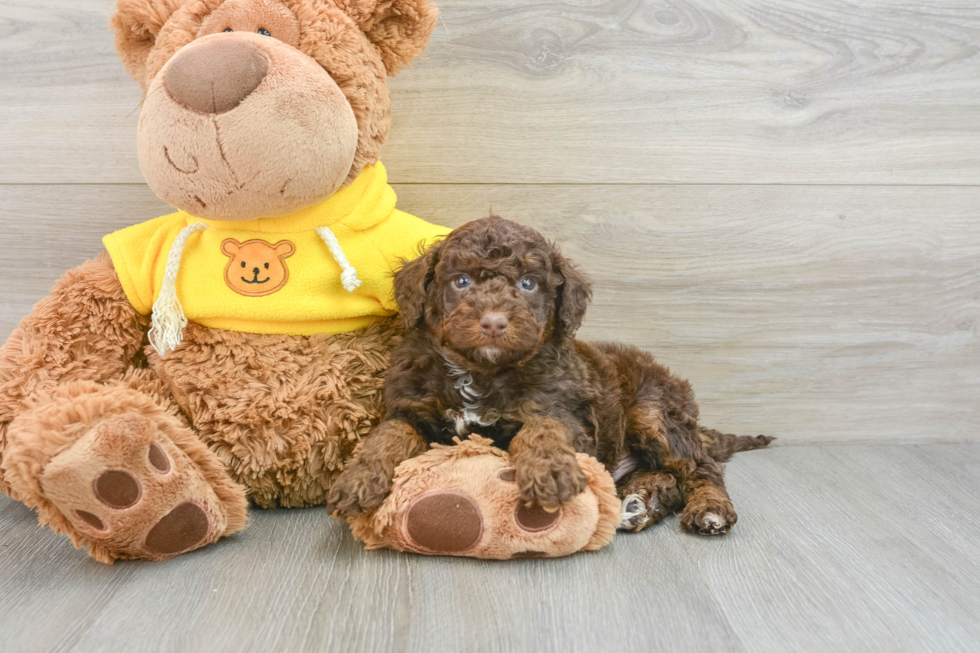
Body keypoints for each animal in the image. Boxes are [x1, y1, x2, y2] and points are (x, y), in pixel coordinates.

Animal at [330, 216, 772, 532]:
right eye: (461, 281)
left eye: (528, 284)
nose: (493, 322)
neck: (481, 371)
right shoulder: (411, 406)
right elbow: (389, 433)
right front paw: (359, 478)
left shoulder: (565, 411)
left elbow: (542, 428)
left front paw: (549, 471)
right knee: (667, 476)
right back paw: (640, 503)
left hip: (654, 411)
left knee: (700, 468)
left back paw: (709, 508)